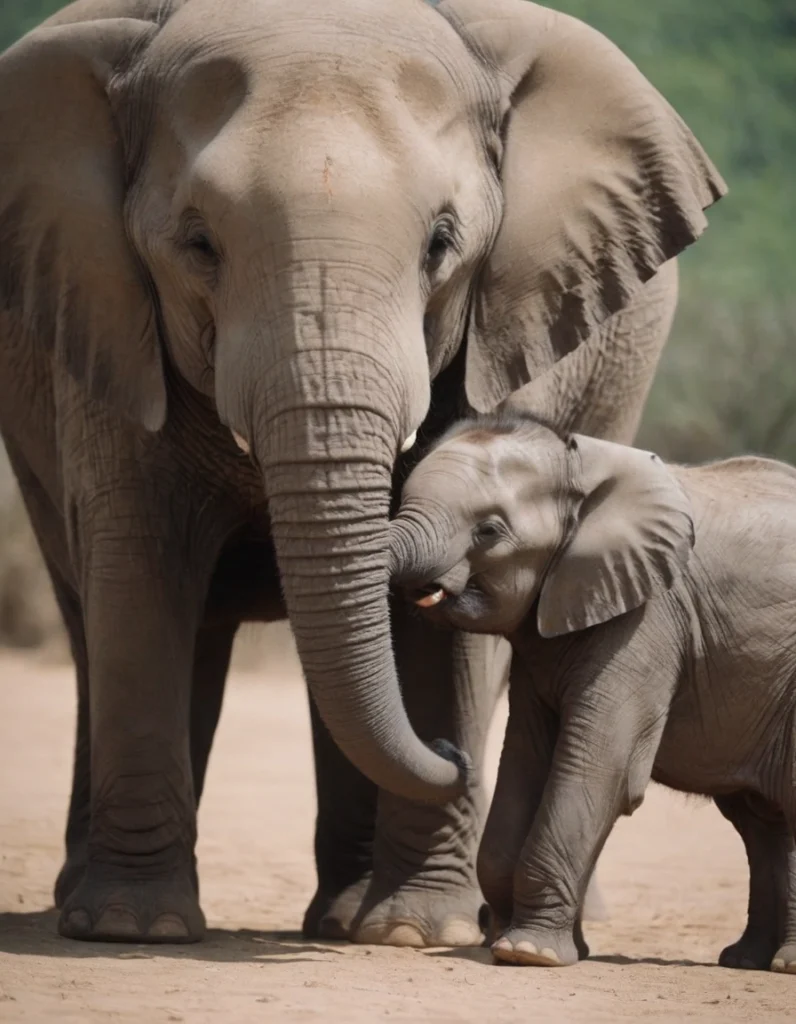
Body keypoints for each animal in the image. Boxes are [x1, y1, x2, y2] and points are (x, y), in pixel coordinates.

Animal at [0, 0, 725, 942]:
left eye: (442, 244)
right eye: (198, 244)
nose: (453, 756)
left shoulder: (509, 320)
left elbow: (448, 631)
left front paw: (417, 932)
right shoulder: (108, 313)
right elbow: (138, 573)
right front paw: (131, 929)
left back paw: (350, 918)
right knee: (97, 614)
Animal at [389, 411, 794, 970]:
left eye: (489, 531)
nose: (450, 748)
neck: (579, 466)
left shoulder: (649, 617)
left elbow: (600, 767)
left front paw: (529, 953)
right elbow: (526, 760)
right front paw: (514, 943)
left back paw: (782, 963)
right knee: (759, 820)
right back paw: (745, 959)